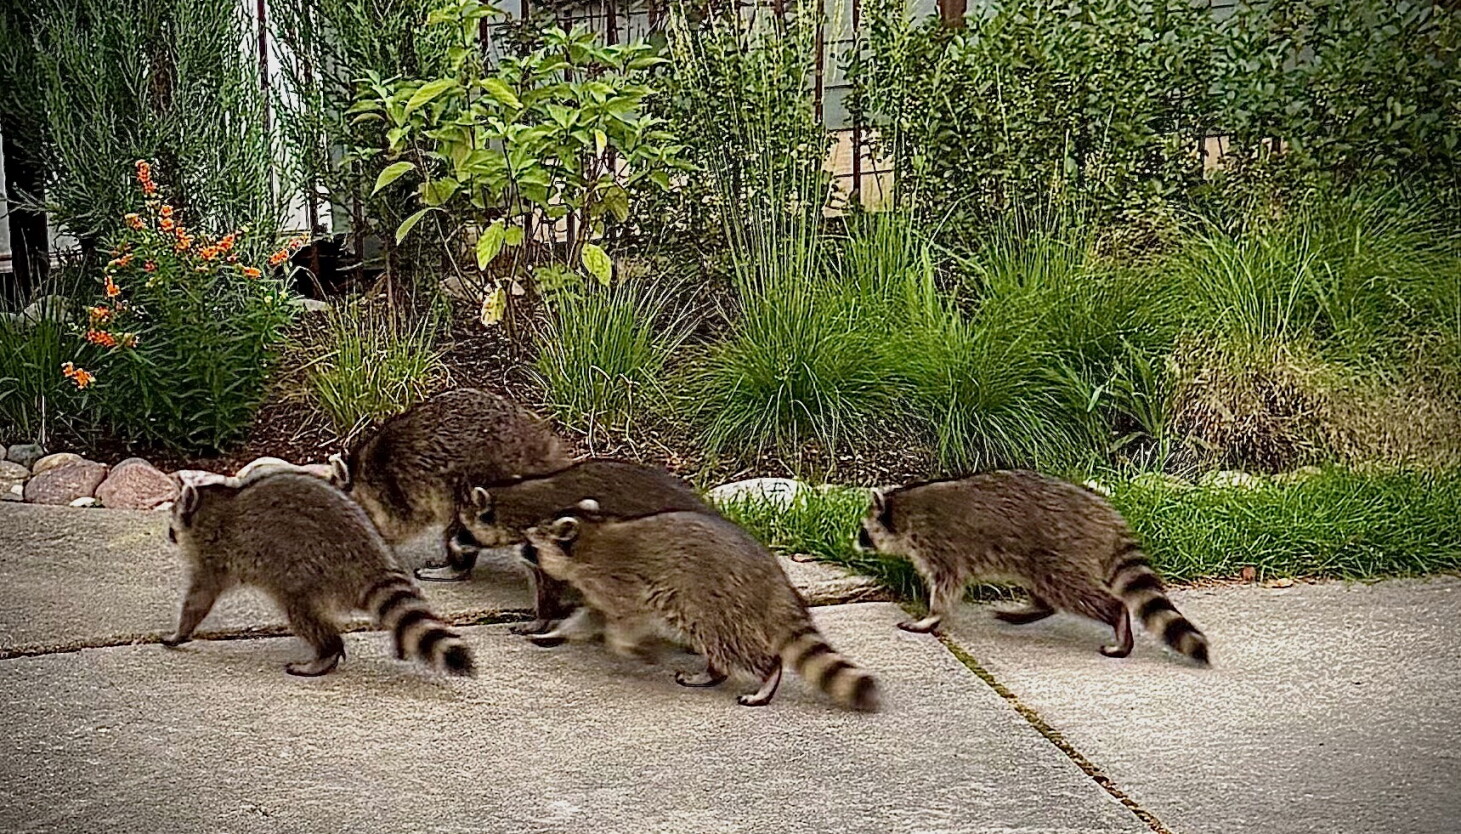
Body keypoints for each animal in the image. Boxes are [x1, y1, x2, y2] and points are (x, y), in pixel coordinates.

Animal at [164, 471, 475, 678]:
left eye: (173, 518)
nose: (170, 535)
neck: (213, 504)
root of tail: (370, 560)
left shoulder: (212, 554)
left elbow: (199, 598)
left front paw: (181, 631)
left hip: (310, 570)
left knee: (302, 615)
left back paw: (327, 650)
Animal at [523, 510, 880, 711]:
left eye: (530, 542)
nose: (518, 548)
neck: (589, 537)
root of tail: (772, 578)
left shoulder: (617, 583)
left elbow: (626, 624)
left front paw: (632, 648)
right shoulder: (598, 592)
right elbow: (590, 617)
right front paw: (556, 631)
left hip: (715, 598)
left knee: (727, 640)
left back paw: (768, 673)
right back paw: (713, 671)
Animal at [857, 470, 1209, 664]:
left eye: (863, 530)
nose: (854, 543)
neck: (903, 508)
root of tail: (1106, 514)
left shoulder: (939, 547)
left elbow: (946, 586)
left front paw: (931, 617)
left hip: (1061, 550)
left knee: (1074, 590)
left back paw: (1117, 615)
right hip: (1038, 557)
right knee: (1045, 588)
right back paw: (1035, 608)